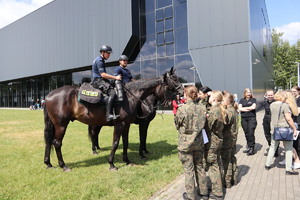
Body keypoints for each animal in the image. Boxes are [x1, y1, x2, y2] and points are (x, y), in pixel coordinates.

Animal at [43, 67, 184, 170]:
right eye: (174, 80)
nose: (182, 92)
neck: (130, 97)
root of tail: (48, 95)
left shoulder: (127, 124)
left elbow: (126, 142)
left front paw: (127, 160)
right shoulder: (123, 124)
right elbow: (117, 142)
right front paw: (112, 163)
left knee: (50, 141)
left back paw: (49, 163)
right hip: (61, 125)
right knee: (57, 142)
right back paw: (64, 165)